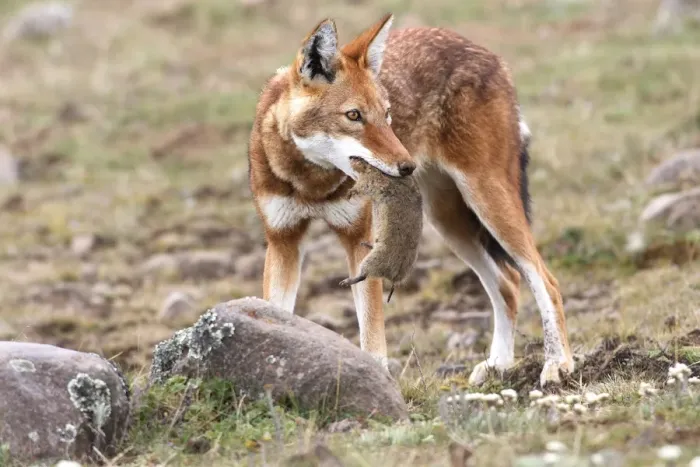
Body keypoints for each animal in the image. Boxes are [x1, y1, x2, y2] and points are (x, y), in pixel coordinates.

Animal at [338, 157, 423, 304]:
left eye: (358, 158)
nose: (350, 158)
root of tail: (395, 278)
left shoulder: (370, 181)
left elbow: (360, 187)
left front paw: (350, 193)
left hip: (373, 260)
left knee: (363, 276)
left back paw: (346, 282)